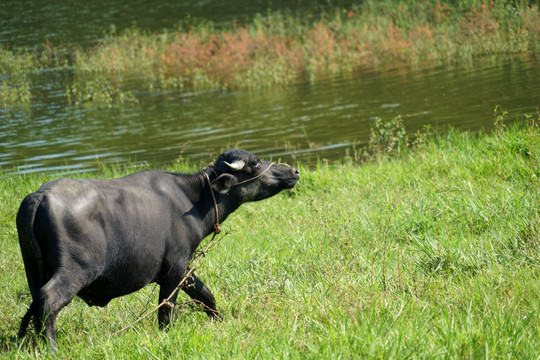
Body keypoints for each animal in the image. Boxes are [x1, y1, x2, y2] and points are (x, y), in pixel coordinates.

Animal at [15, 149, 300, 352]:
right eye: (256, 162)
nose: (294, 171)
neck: (194, 199)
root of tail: (39, 196)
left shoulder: (184, 267)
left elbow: (204, 294)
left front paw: (218, 319)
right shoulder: (174, 267)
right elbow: (167, 309)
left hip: (33, 270)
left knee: (37, 302)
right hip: (74, 271)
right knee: (50, 299)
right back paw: (52, 347)